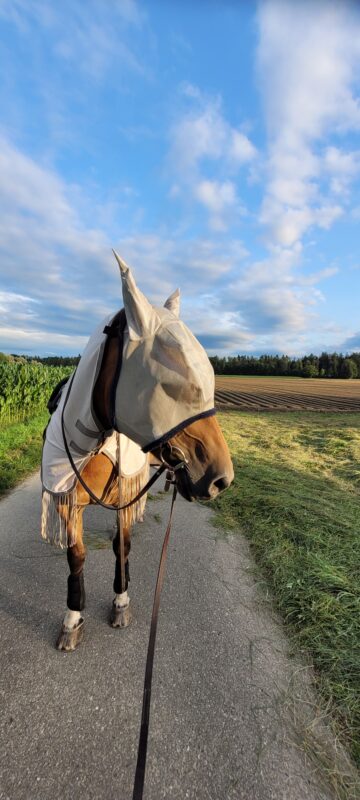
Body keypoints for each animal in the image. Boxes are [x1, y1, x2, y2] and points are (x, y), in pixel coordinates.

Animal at [41, 253, 233, 652]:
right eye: (173, 384)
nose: (222, 478)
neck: (94, 444)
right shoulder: (68, 503)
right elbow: (76, 555)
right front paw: (72, 618)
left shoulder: (126, 496)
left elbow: (122, 546)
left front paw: (121, 601)